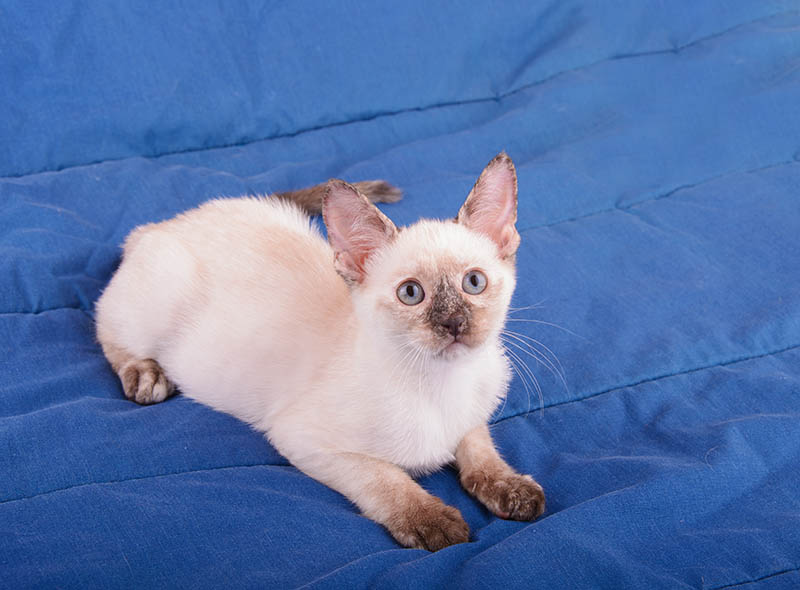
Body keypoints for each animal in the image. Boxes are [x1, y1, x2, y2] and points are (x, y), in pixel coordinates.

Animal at [94, 154, 544, 556]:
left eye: (474, 283)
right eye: (411, 293)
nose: (453, 323)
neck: (442, 386)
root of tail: (160, 225)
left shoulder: (472, 416)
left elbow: (480, 450)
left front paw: (510, 488)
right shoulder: (306, 441)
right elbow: (384, 477)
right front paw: (432, 520)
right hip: (153, 309)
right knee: (106, 324)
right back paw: (145, 375)